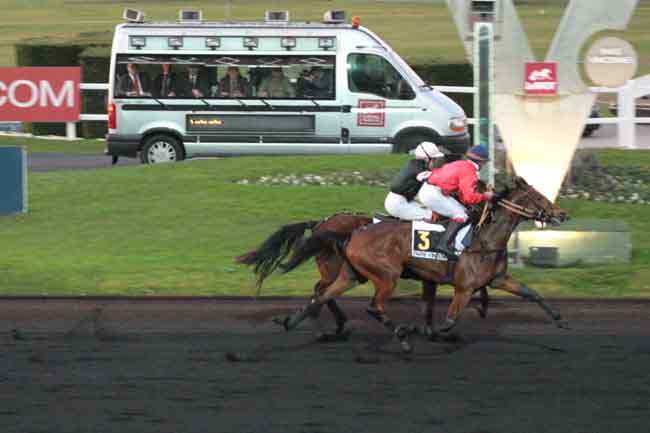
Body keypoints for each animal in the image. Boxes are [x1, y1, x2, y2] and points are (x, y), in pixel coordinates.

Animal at [278, 176, 568, 352]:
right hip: (386, 275)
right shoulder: (464, 288)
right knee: (368, 304)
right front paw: (424, 330)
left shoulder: (496, 279)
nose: (562, 213)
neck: (484, 238)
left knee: (322, 295)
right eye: (538, 197)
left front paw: (559, 319)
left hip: (351, 274)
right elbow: (448, 321)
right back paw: (399, 335)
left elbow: (531, 293)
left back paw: (296, 322)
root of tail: (349, 232)